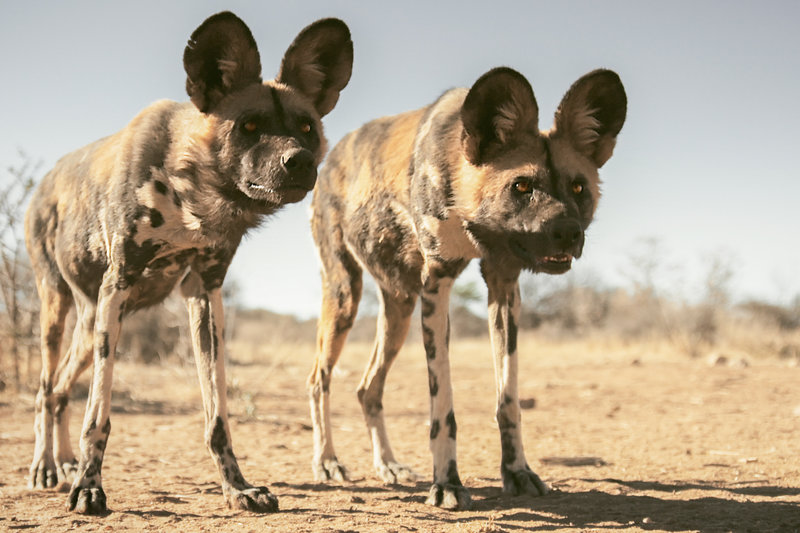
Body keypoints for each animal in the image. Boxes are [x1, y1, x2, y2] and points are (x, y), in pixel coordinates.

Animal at [26, 10, 352, 512]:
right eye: (249, 127)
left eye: (306, 128)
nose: (297, 161)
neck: (195, 197)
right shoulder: (119, 284)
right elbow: (98, 416)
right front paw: (90, 487)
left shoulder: (205, 293)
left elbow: (218, 416)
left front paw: (238, 488)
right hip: (59, 312)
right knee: (45, 388)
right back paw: (46, 466)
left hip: (89, 324)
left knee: (60, 389)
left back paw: (62, 463)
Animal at [306, 65, 624, 508]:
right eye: (521, 186)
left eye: (579, 188)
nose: (567, 232)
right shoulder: (436, 286)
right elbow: (443, 408)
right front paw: (447, 483)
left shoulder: (504, 285)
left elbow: (508, 400)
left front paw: (517, 471)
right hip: (344, 297)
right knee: (319, 379)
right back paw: (327, 462)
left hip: (399, 311)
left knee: (369, 388)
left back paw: (388, 465)